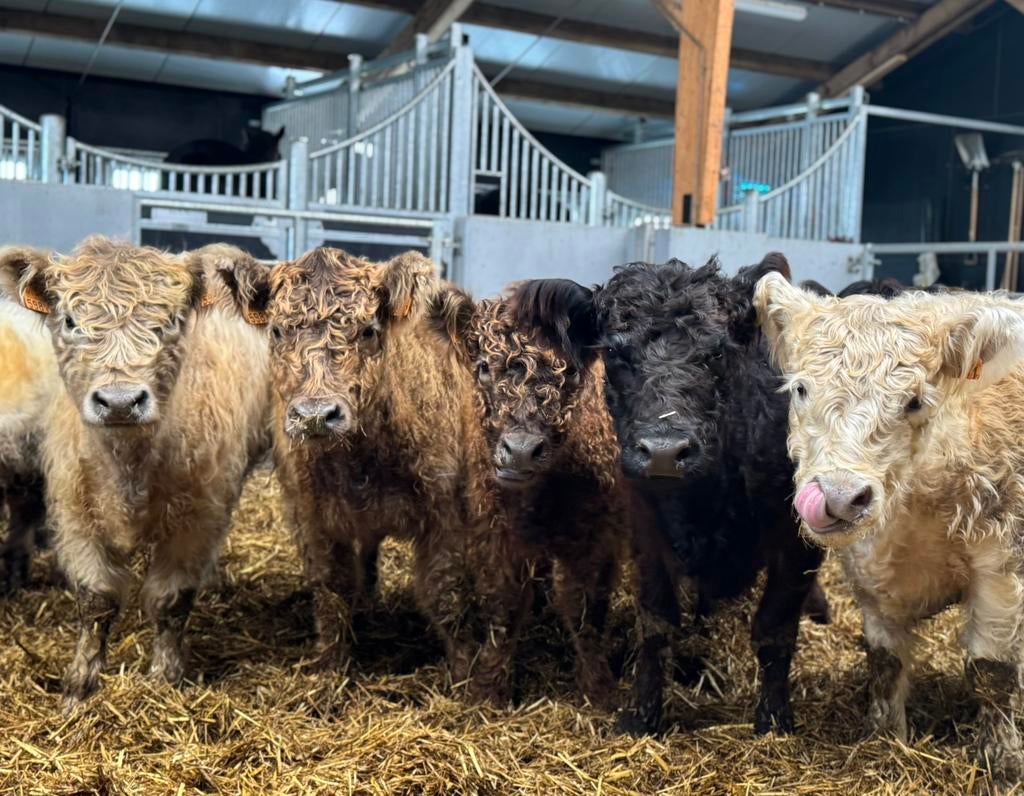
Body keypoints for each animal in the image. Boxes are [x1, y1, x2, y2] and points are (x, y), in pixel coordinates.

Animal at [0, 238, 271, 703]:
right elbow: (96, 599)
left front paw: (164, 677)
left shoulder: (200, 517)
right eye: (70, 320)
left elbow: (170, 600)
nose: (121, 401)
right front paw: (80, 685)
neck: (130, 467)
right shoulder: (75, 512)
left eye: (171, 321)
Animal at [216, 247, 528, 701]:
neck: (359, 462)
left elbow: (446, 596)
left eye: (367, 330)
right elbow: (332, 589)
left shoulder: (446, 517)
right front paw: (331, 667)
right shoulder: (314, 517)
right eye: (276, 331)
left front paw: (465, 678)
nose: (316, 415)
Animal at [430, 289, 627, 706]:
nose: (521, 450)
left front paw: (599, 689)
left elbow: (585, 611)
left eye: (572, 373)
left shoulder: (594, 540)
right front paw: (488, 688)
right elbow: (504, 606)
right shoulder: (496, 534)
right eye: (484, 367)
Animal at [512, 254, 827, 735]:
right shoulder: (646, 530)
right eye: (614, 352)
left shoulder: (798, 543)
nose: (663, 451)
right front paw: (642, 716)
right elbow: (656, 623)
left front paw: (774, 720)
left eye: (718, 352)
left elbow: (774, 629)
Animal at [755, 274, 1024, 784]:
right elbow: (884, 661)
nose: (839, 496)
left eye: (914, 401)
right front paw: (882, 739)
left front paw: (1003, 764)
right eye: (800, 390)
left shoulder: (1001, 566)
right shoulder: (871, 573)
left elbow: (992, 672)